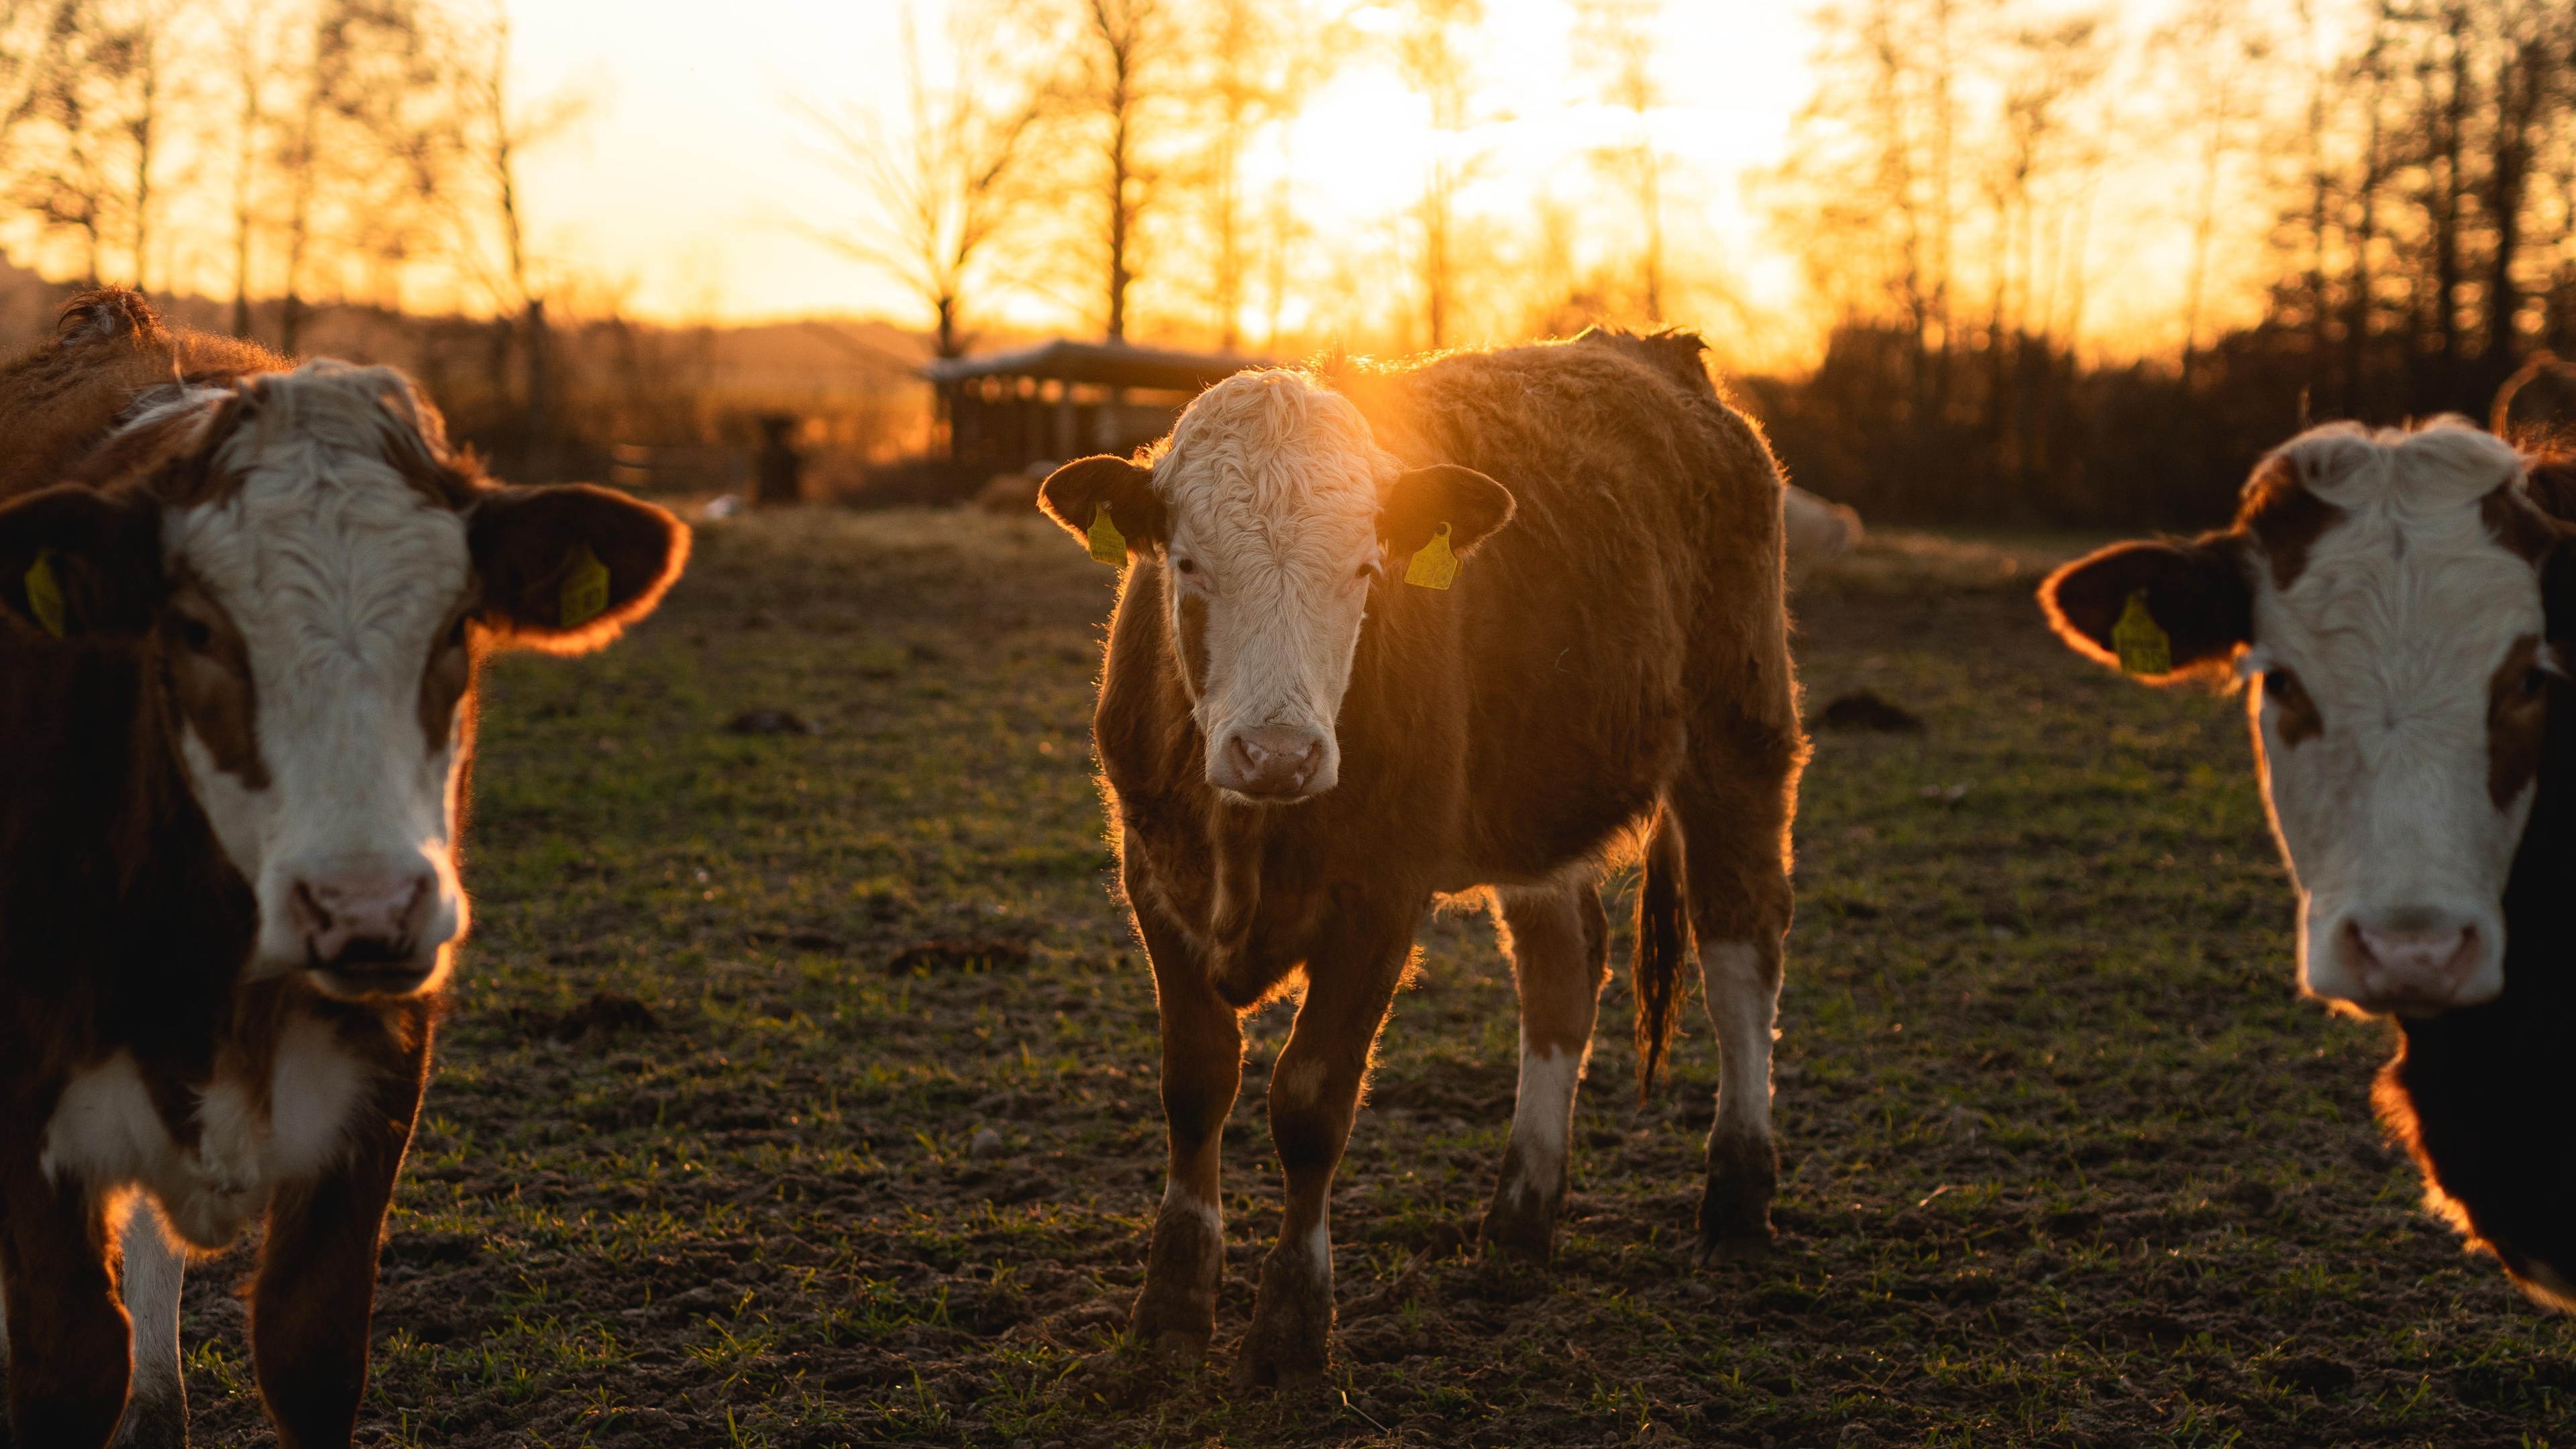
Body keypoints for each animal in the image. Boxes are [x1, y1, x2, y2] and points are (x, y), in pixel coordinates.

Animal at [0, 287, 690, 1433]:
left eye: (458, 627)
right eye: (194, 628)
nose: (365, 907)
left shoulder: (375, 1098)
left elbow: (309, 1350)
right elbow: (69, 1363)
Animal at [1035, 329, 1803, 1392]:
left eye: (1367, 570)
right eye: (1186, 565)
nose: (1278, 753)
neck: (1251, 831)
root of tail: (1659, 357)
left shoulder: (1381, 896)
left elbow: (1311, 1102)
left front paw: (1290, 1332)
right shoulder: (1156, 878)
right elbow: (1195, 1087)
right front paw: (1172, 1311)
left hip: (1739, 731)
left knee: (1741, 953)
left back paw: (1735, 1202)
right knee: (1563, 972)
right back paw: (1520, 1220)